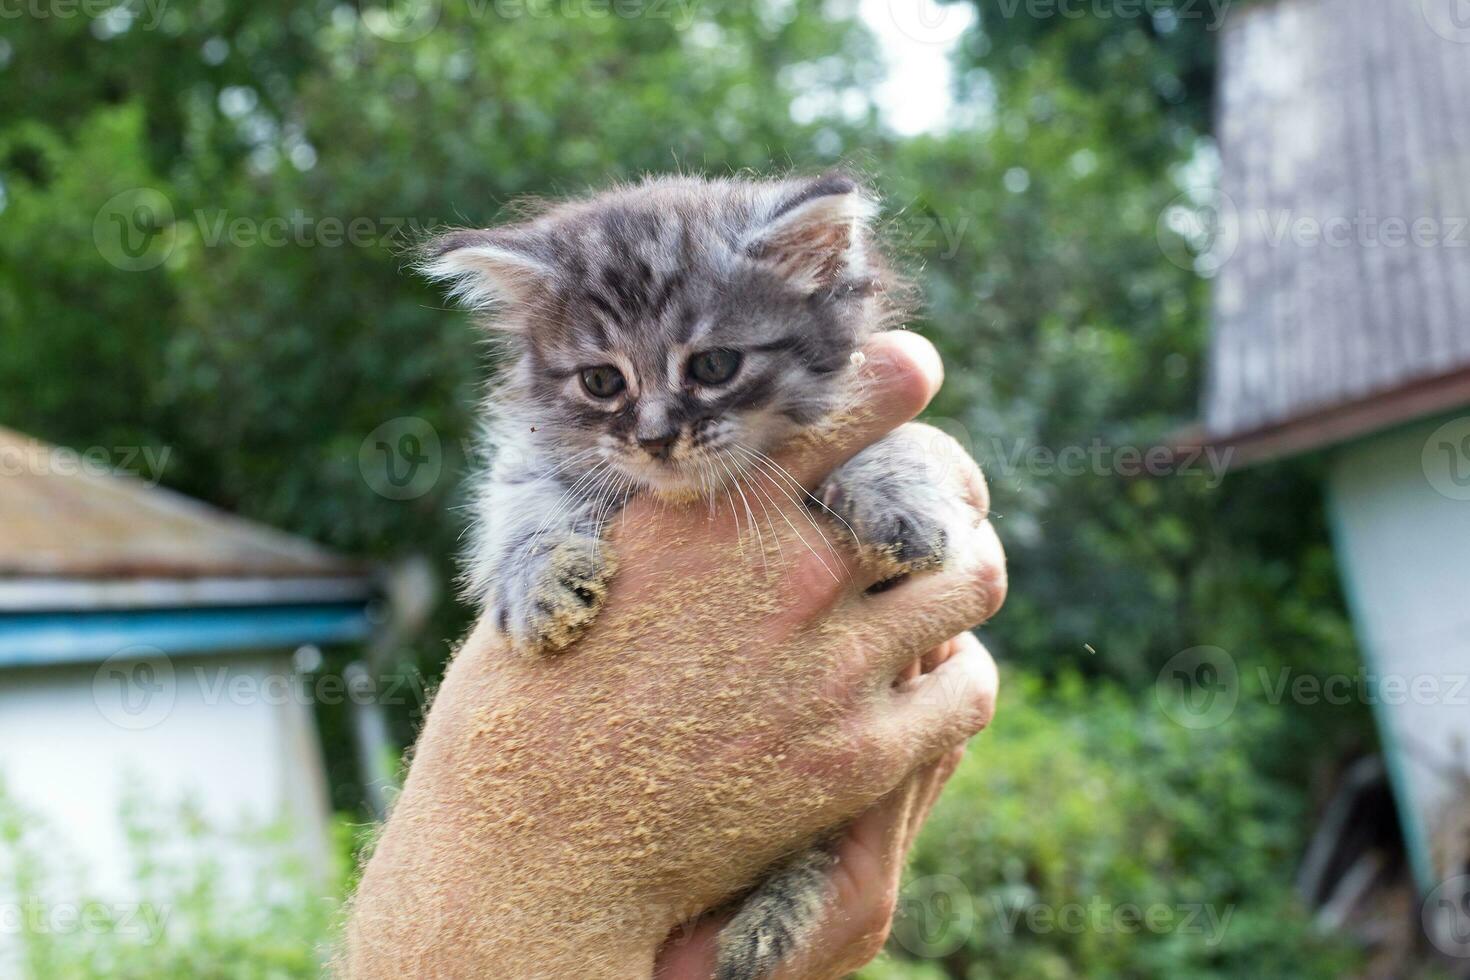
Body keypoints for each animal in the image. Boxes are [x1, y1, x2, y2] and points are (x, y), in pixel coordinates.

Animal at [420, 174, 958, 980]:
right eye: (602, 381)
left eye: (712, 367)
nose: (654, 438)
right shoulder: (529, 457)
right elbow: (524, 502)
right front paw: (538, 582)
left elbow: (892, 444)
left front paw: (896, 494)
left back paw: (768, 920)